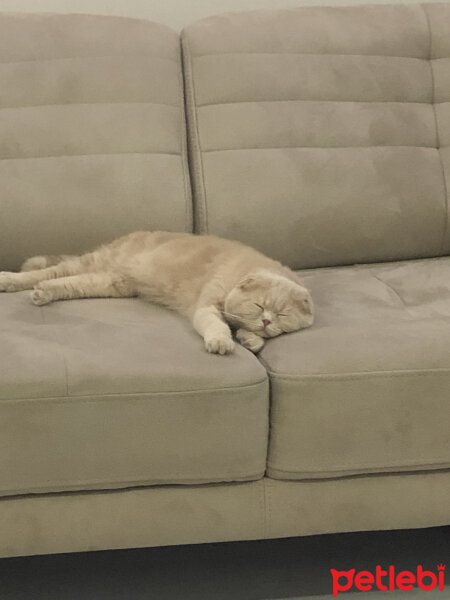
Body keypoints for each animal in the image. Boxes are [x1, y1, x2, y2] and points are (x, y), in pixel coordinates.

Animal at [0, 232, 312, 354]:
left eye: (282, 314)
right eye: (260, 305)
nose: (267, 320)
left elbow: (248, 333)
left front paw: (252, 339)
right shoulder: (206, 306)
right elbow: (217, 325)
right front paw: (222, 342)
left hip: (108, 281)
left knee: (64, 283)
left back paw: (43, 294)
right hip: (91, 263)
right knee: (46, 272)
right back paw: (10, 280)